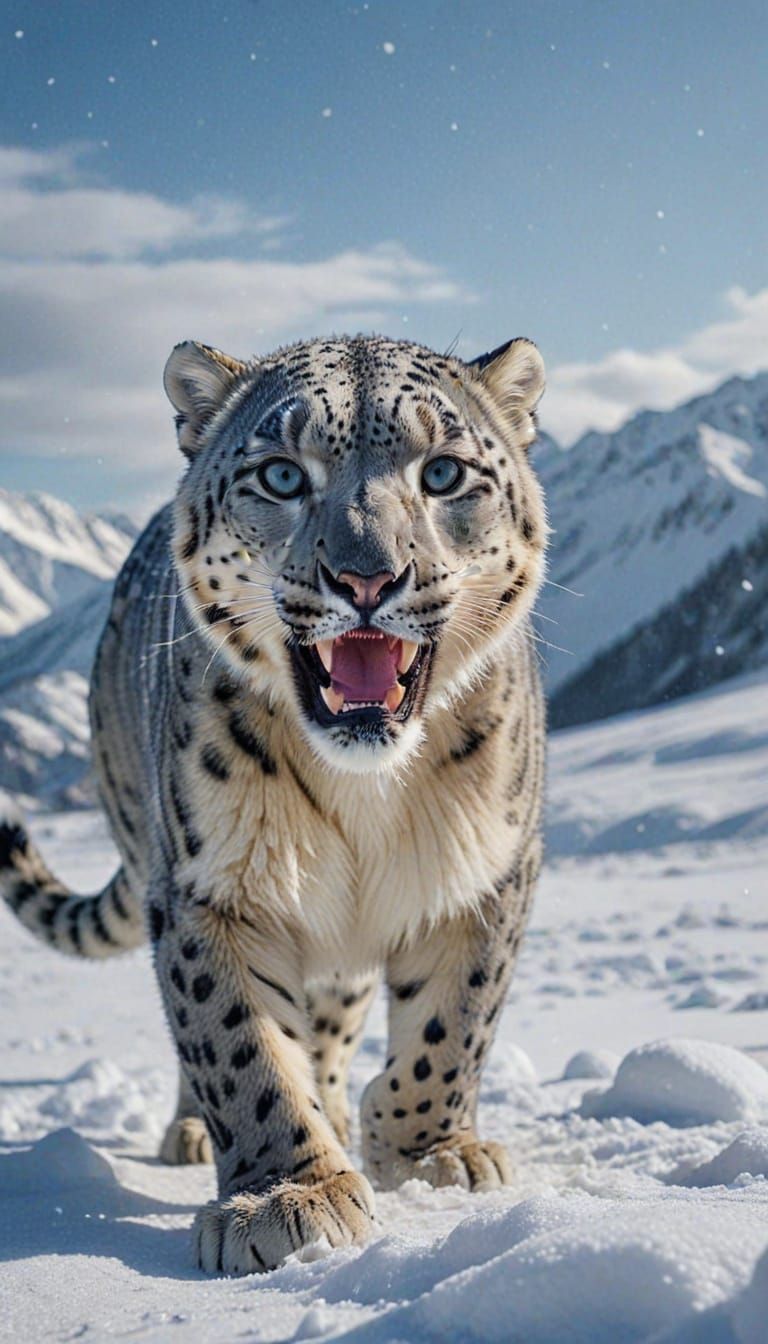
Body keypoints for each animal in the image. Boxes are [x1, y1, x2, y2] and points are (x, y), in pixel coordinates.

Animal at [0, 333, 547, 1275]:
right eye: (284, 476)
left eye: (443, 472)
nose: (367, 579)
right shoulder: (210, 884)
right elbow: (237, 1039)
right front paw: (289, 1196)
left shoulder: (488, 869)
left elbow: (455, 1020)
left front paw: (430, 1152)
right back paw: (198, 1131)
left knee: (336, 1016)